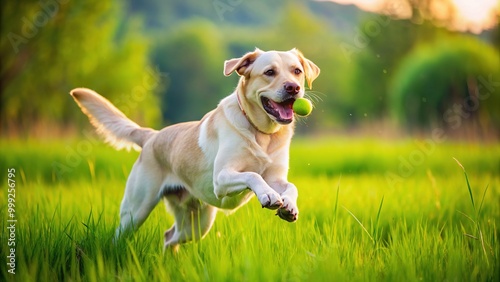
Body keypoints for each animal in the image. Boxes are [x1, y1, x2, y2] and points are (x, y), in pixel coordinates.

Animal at [69, 48, 320, 249]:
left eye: (297, 71)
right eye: (269, 72)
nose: (293, 88)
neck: (262, 134)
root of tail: (152, 136)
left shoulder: (276, 177)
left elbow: (292, 186)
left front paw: (289, 206)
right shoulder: (221, 178)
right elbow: (252, 175)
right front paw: (268, 194)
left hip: (198, 223)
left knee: (169, 237)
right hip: (135, 210)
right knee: (121, 236)